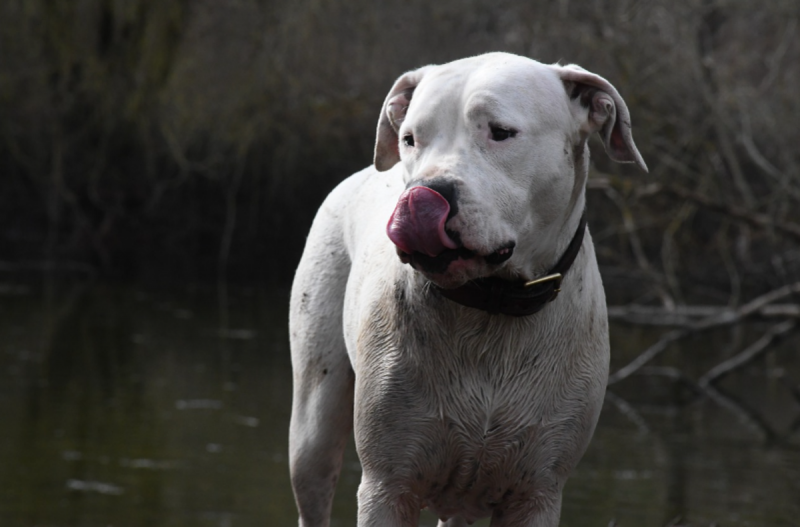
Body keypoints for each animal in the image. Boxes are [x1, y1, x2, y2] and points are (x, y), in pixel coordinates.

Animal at [290, 50, 648, 527]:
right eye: (409, 139)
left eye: (501, 132)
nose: (424, 194)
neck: (490, 306)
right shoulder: (387, 486)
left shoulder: (537, 493)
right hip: (314, 422)